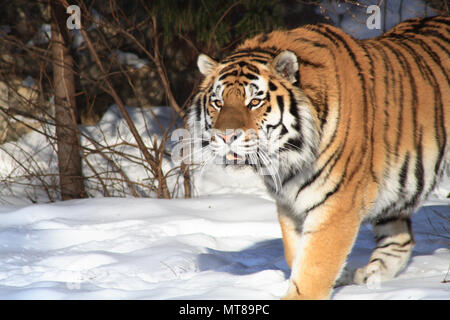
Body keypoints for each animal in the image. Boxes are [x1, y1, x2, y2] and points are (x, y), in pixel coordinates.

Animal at [185, 15, 448, 300]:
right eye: (218, 102)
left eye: (254, 102)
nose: (225, 136)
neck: (286, 158)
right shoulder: (289, 205)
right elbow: (295, 254)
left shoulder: (338, 203)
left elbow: (315, 266)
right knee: (400, 239)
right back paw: (368, 278)